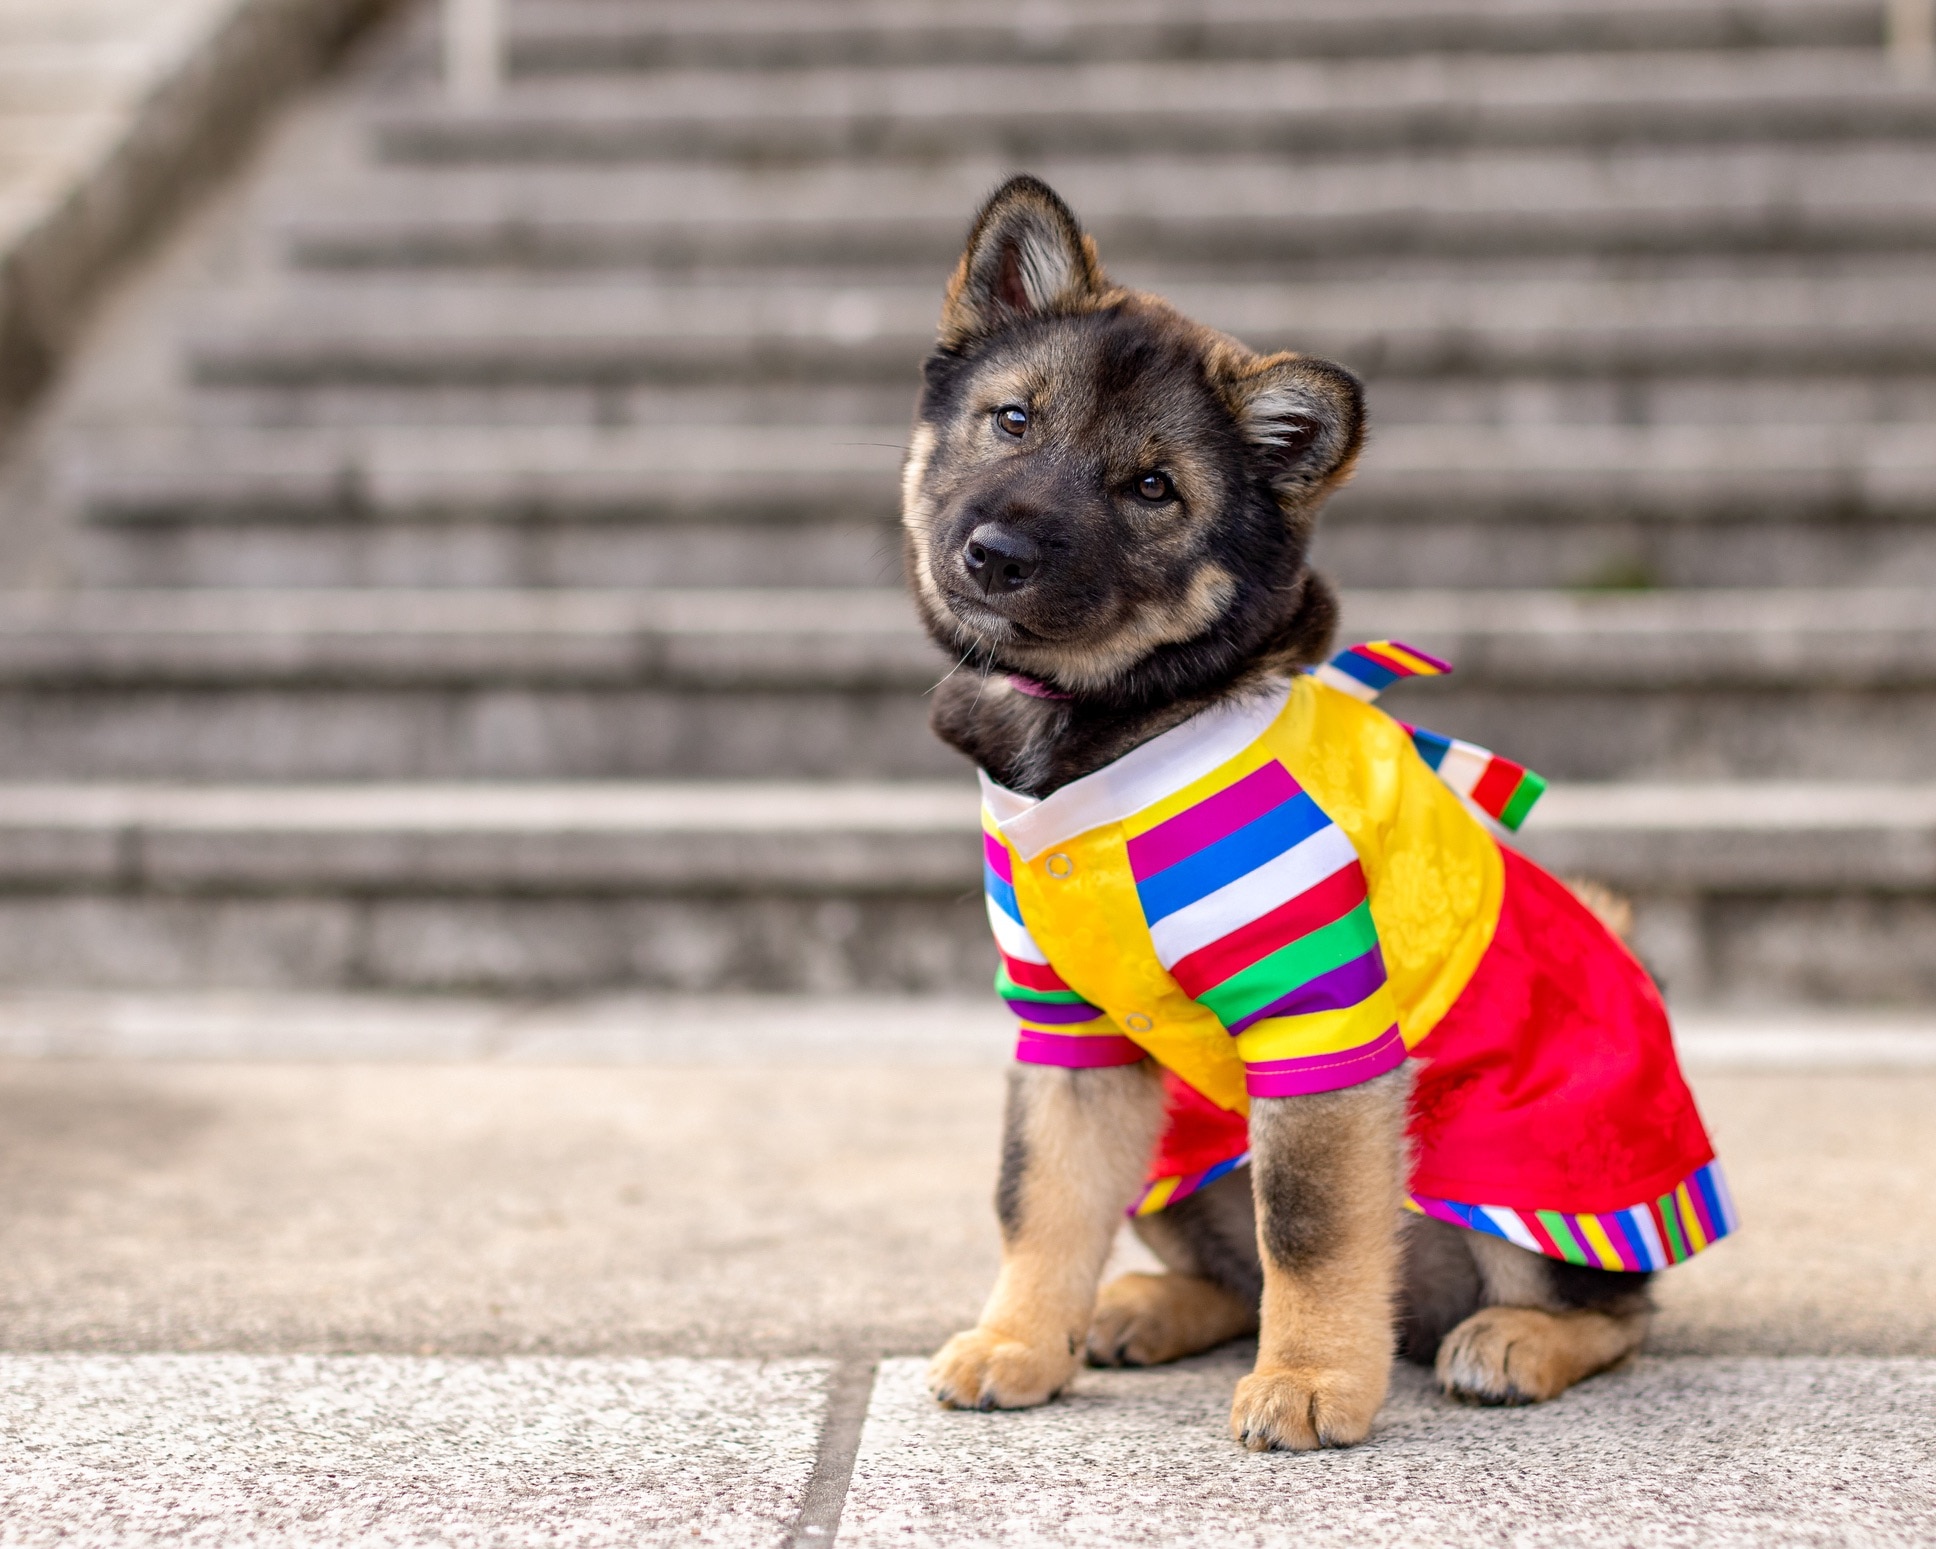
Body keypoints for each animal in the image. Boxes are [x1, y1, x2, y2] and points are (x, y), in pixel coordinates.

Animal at [898, 178, 1734, 1456]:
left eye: (1153, 489)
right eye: (1012, 420)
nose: (995, 553)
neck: (1110, 715)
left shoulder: (1318, 1022)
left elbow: (1308, 1227)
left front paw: (1308, 1384)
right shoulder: (1069, 1035)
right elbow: (1036, 1199)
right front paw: (1018, 1343)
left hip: (1530, 1177)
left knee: (1617, 1312)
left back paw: (1512, 1340)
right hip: (1183, 1148)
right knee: (1228, 1273)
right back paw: (1142, 1308)